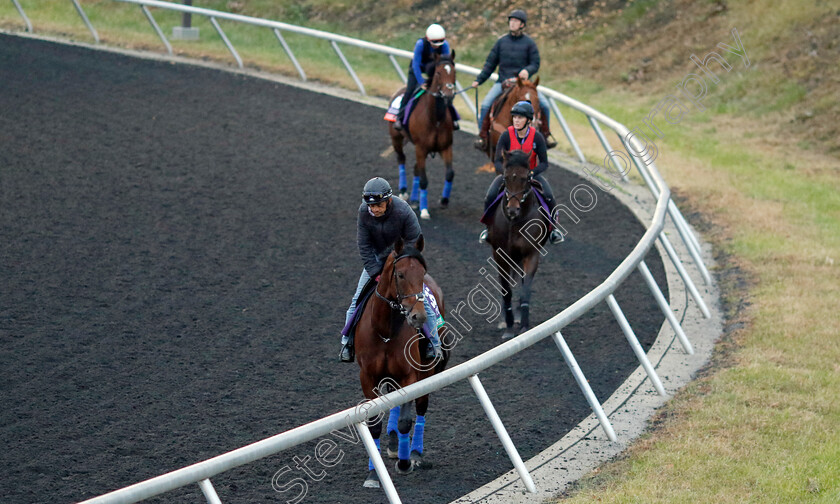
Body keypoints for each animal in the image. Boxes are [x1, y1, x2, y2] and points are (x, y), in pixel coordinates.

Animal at [352, 235, 450, 488]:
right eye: (401, 275)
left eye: (422, 272)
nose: (419, 316)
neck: (386, 330)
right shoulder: (368, 377)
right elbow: (374, 423)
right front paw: (373, 475)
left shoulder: (410, 375)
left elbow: (407, 419)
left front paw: (405, 463)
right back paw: (394, 442)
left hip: (427, 371)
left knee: (421, 407)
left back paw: (414, 452)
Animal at [388, 51, 456, 220]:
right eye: (438, 73)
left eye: (454, 72)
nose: (449, 94)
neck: (435, 119)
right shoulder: (421, 148)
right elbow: (424, 180)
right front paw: (424, 210)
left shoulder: (446, 147)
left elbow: (450, 173)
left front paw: (444, 200)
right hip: (396, 138)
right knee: (402, 159)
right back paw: (404, 191)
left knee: (415, 168)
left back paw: (413, 199)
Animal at [480, 150, 552, 338]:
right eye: (505, 177)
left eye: (526, 178)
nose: (513, 210)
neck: (516, 221)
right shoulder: (500, 255)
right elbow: (506, 290)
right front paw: (509, 325)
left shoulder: (531, 254)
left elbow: (525, 290)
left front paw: (524, 325)